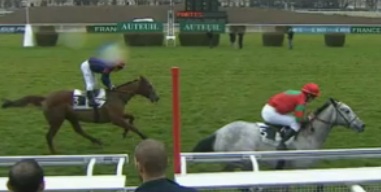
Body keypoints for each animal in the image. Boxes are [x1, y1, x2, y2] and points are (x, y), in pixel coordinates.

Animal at [0, 76, 158, 154]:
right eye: (149, 86)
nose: (157, 98)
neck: (117, 96)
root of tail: (45, 99)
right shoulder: (115, 119)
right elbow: (133, 127)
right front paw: (145, 138)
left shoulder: (118, 116)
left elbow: (131, 118)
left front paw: (125, 133)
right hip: (57, 120)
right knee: (49, 136)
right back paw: (54, 152)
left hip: (71, 117)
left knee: (79, 130)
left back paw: (97, 141)